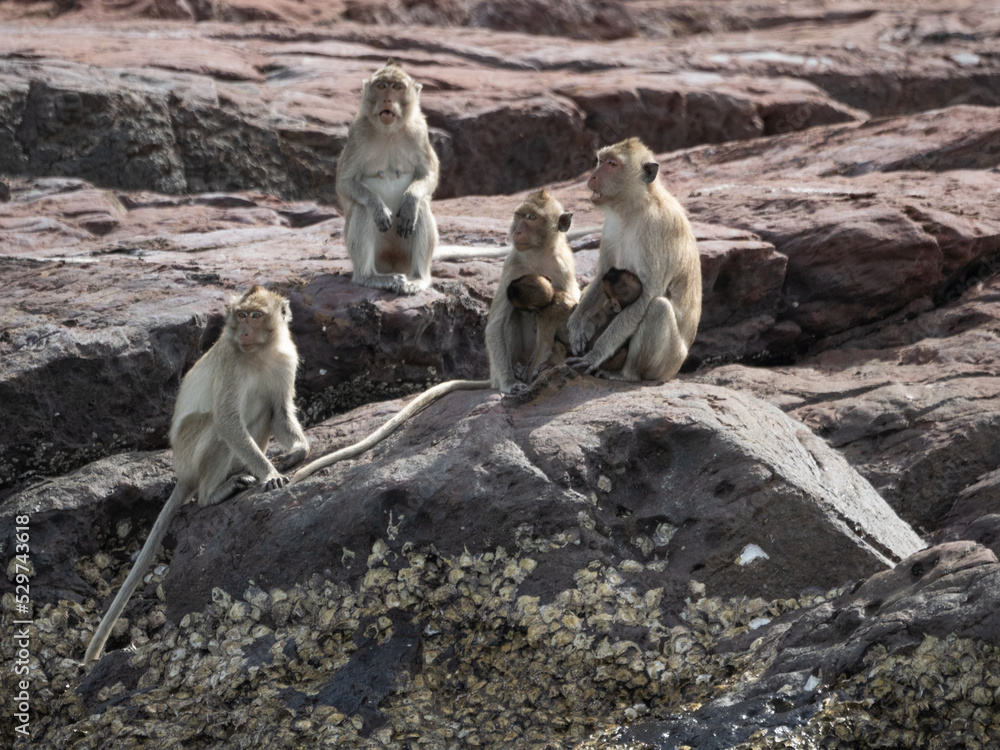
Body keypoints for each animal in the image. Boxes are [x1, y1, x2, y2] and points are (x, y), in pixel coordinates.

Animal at [84, 286, 309, 662]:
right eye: (242, 315)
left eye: (256, 315)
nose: (244, 331)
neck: (260, 353)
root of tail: (182, 474)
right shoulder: (232, 362)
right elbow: (228, 420)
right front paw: (269, 473)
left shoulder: (285, 360)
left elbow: (279, 409)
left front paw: (298, 453)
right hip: (190, 453)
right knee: (217, 426)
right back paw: (212, 493)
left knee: (263, 408)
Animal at [292, 190, 579, 484]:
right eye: (519, 216)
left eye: (531, 217)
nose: (517, 230)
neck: (537, 254)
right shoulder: (513, 265)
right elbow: (497, 324)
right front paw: (511, 385)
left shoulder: (563, 266)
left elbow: (568, 308)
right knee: (512, 314)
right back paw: (516, 373)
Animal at [337, 59, 439, 295]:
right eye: (382, 86)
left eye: (398, 87)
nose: (388, 100)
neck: (389, 131)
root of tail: (393, 264)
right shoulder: (357, 132)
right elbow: (345, 183)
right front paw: (378, 207)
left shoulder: (420, 131)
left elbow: (429, 175)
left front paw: (411, 200)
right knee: (362, 208)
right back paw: (370, 278)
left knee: (422, 206)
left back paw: (419, 278)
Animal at [566, 137, 701, 381]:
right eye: (600, 160)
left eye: (612, 164)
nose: (592, 177)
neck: (632, 209)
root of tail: (677, 368)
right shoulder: (610, 225)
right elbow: (603, 275)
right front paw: (576, 325)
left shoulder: (658, 229)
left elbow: (647, 295)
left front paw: (594, 355)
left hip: (669, 362)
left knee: (658, 308)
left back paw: (625, 375)